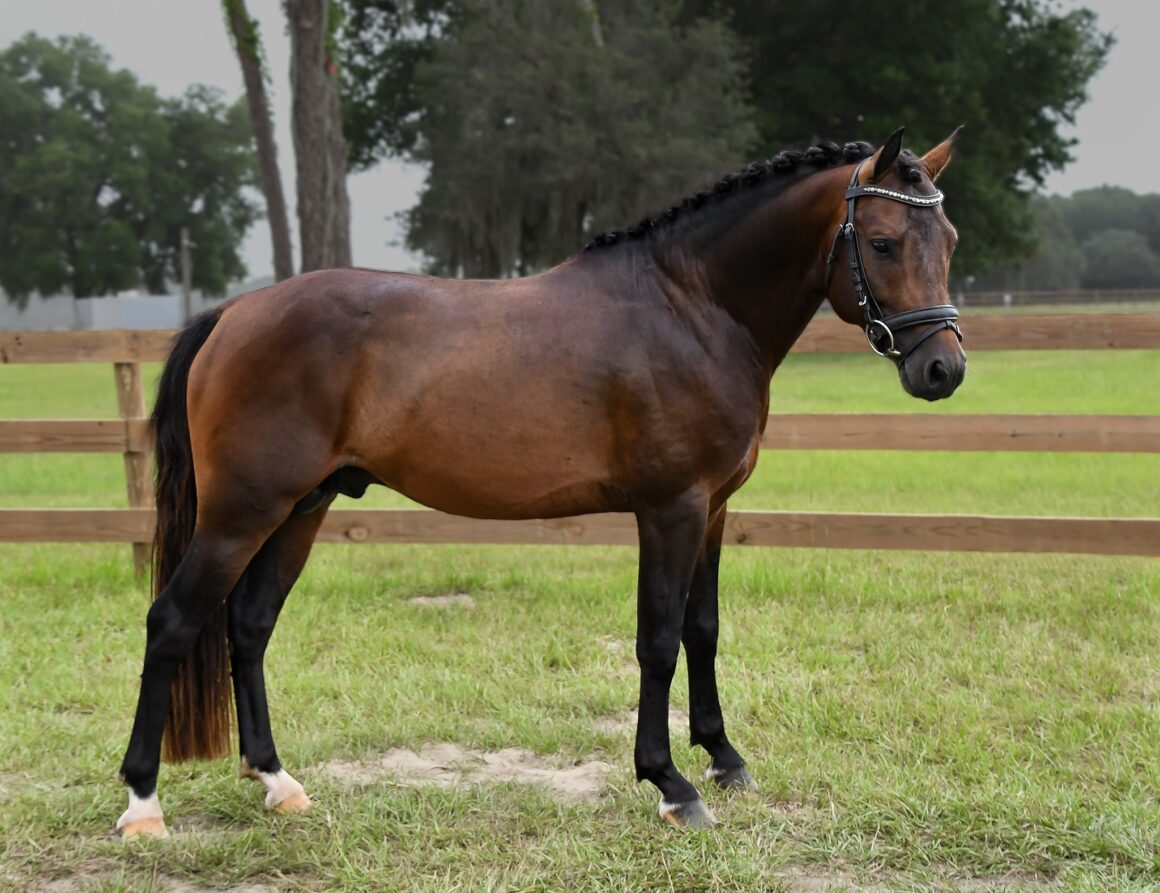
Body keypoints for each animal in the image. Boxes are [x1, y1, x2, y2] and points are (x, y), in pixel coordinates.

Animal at [115, 126, 969, 835]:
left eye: (950, 238)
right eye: (884, 242)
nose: (944, 369)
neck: (692, 305)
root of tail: (233, 314)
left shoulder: (715, 510)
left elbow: (703, 629)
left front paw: (725, 758)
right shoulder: (671, 509)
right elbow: (657, 639)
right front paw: (670, 783)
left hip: (301, 508)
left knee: (249, 625)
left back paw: (277, 781)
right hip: (241, 512)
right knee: (173, 621)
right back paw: (143, 803)